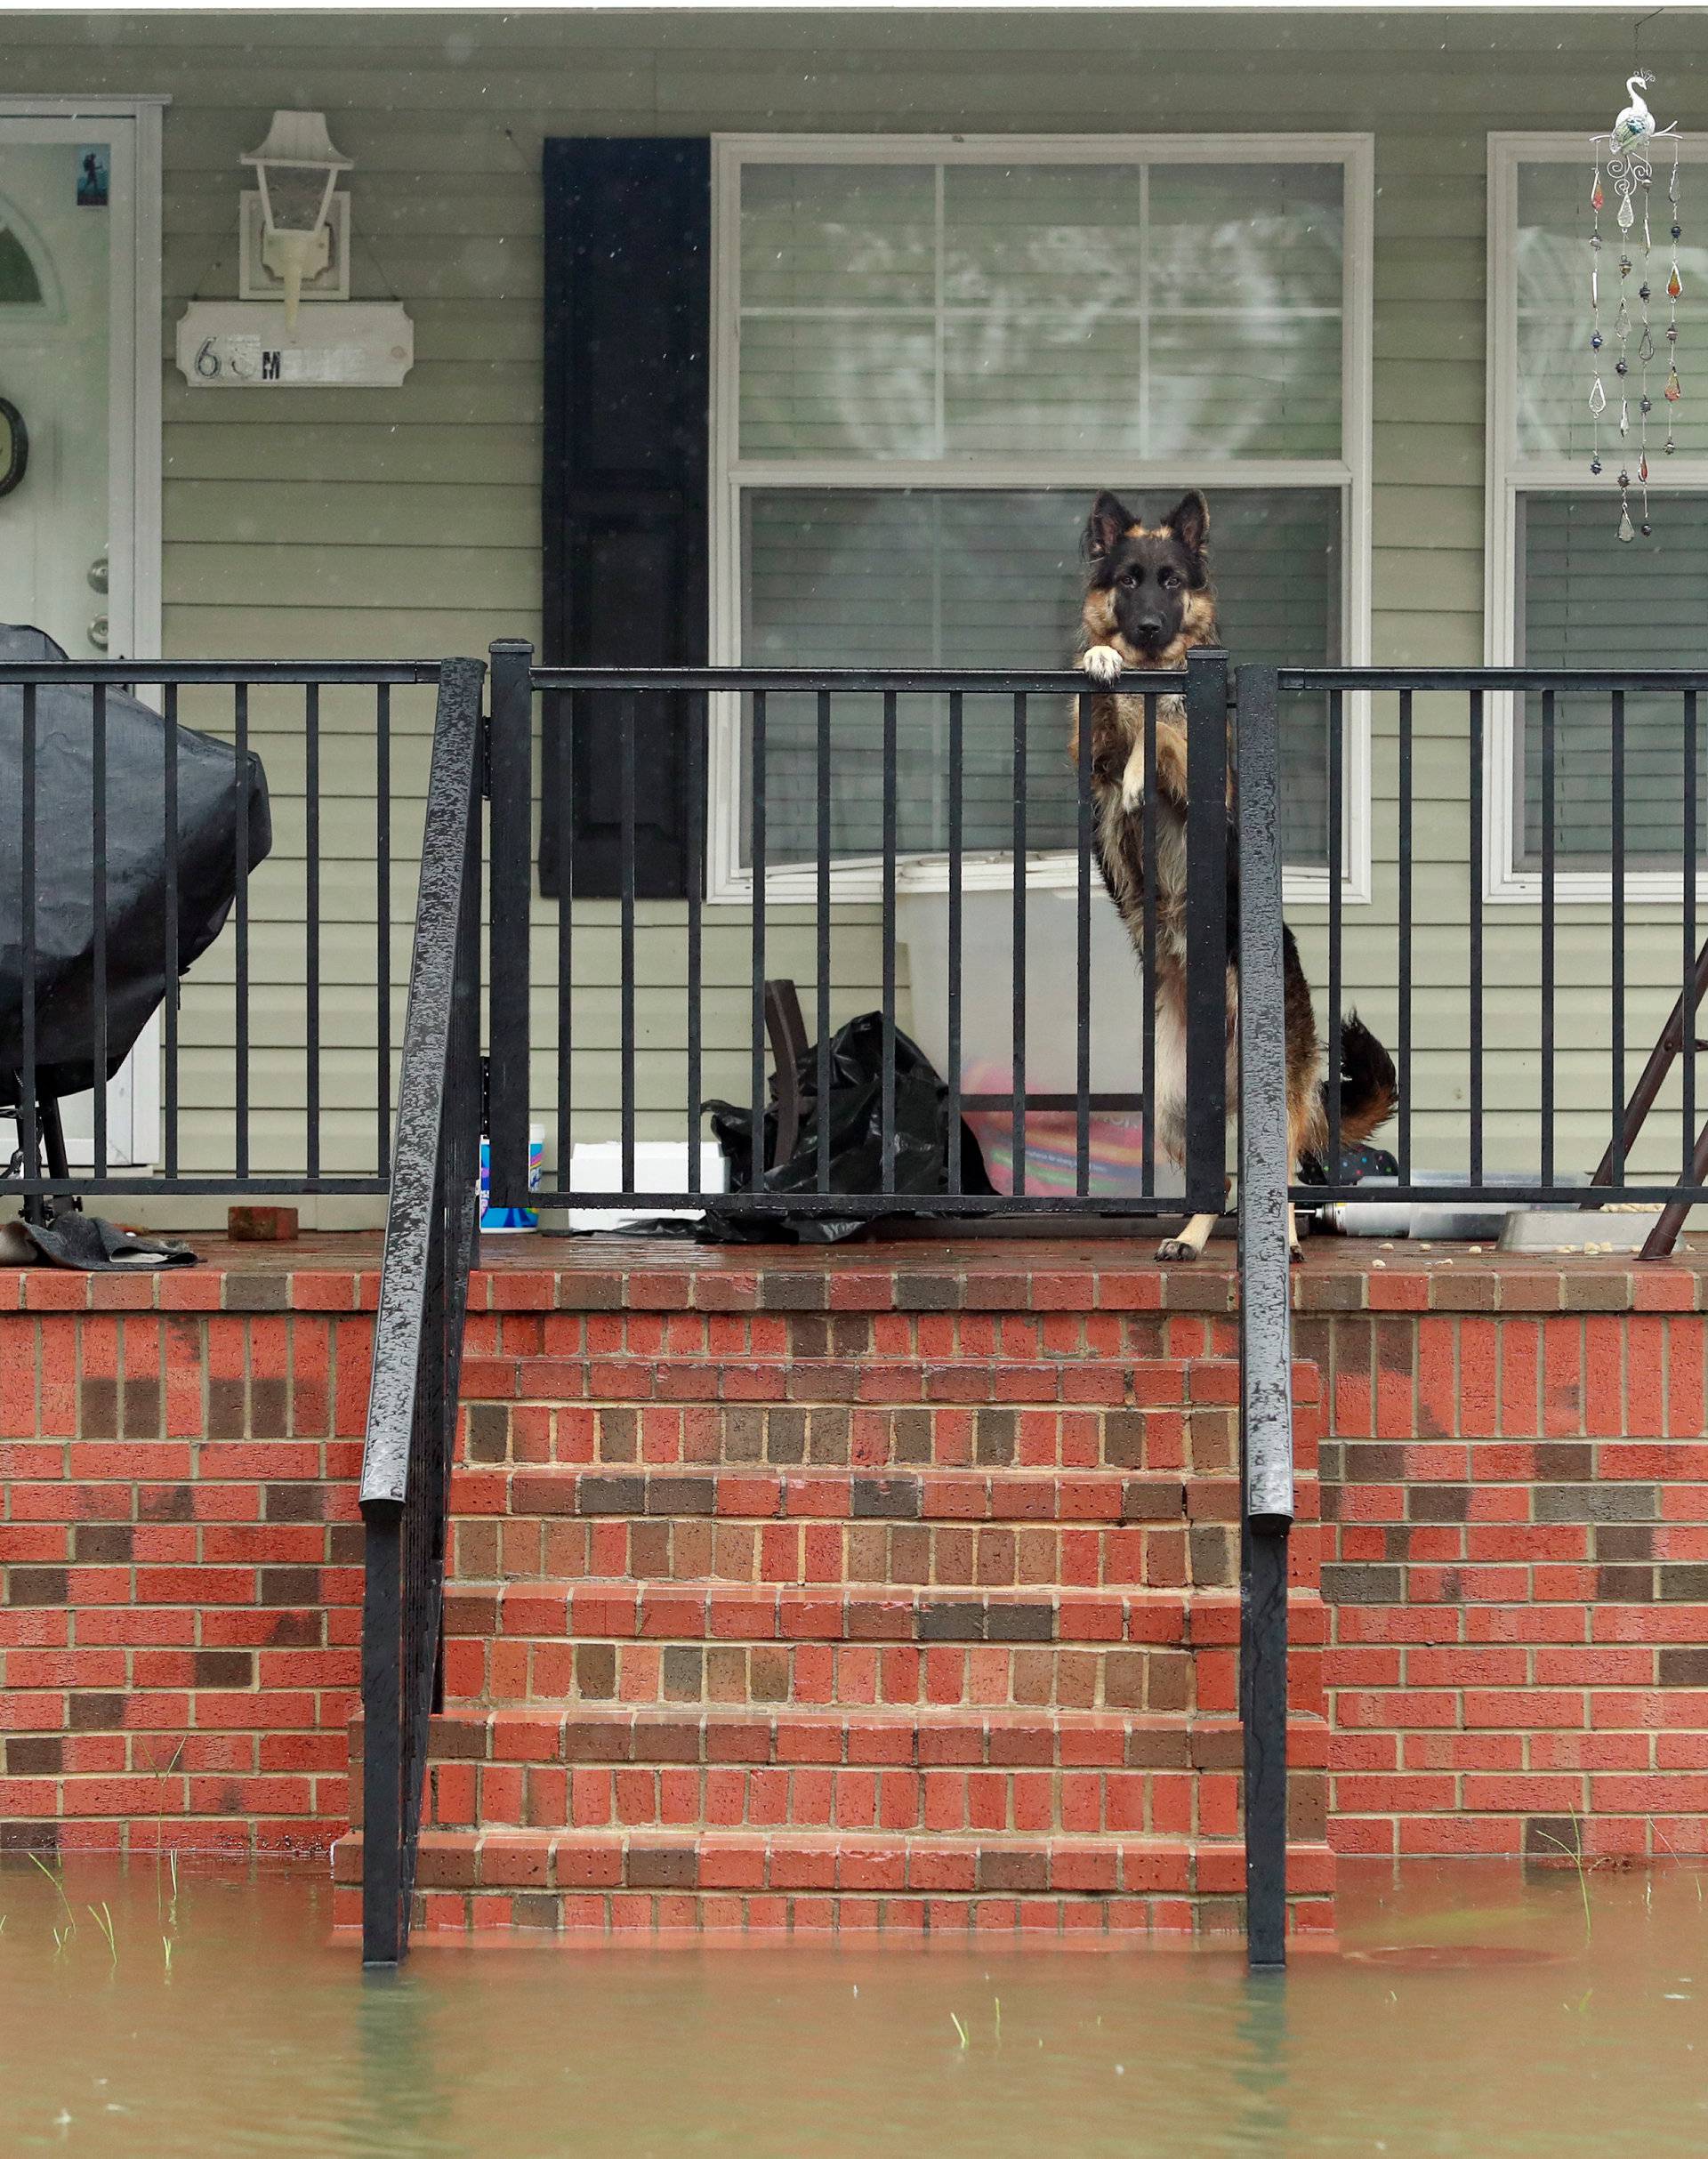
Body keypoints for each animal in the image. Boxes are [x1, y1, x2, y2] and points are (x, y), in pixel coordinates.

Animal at [1084, 489, 1398, 1261]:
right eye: (1129, 579)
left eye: (1171, 581)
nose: (1146, 628)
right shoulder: (1090, 757)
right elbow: (1108, 708)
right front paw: (1101, 654)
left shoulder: (1203, 771)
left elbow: (1162, 734)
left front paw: (1142, 761)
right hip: (1172, 1107)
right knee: (1224, 1179)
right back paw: (1191, 1238)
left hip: (1270, 1102)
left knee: (1275, 1174)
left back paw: (1283, 1239)